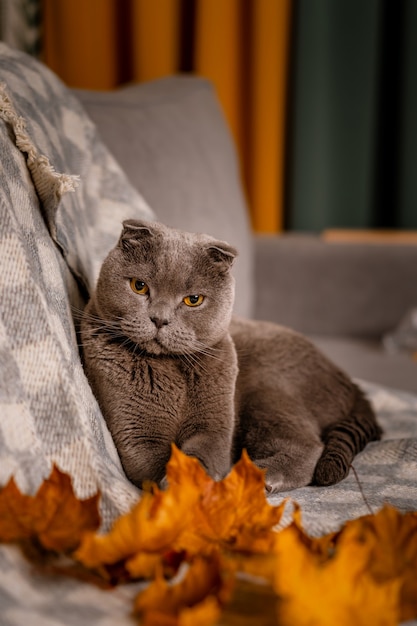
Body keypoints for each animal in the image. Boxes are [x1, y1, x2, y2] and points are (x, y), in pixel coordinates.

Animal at [81, 221, 380, 492]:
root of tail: (350, 383)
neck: (170, 369)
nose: (159, 319)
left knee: (309, 446)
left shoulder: (213, 427)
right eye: (139, 286)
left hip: (267, 388)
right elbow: (152, 461)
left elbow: (204, 453)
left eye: (193, 300)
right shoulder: (138, 434)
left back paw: (259, 476)